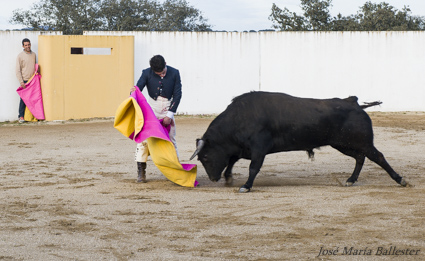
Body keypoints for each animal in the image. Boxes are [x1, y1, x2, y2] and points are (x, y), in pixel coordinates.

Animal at [190, 91, 406, 191]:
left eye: (206, 157)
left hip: (362, 142)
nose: (213, 179)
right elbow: (232, 161)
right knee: (360, 158)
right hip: (342, 144)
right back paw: (350, 180)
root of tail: (353, 102)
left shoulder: (258, 149)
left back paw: (400, 180)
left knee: (377, 156)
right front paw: (229, 178)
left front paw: (246, 186)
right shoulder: (241, 149)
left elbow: (253, 168)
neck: (239, 119)